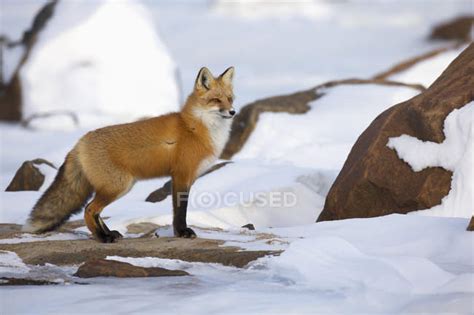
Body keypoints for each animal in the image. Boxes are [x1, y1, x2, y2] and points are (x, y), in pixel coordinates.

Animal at [23, 67, 236, 244]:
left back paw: (110, 233)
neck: (196, 127)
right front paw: (182, 232)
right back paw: (103, 238)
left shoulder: (185, 176)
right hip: (118, 185)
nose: (233, 112)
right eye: (216, 100)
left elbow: (177, 209)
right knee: (89, 209)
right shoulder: (182, 174)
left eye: (230, 98)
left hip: (119, 186)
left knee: (95, 211)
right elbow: (180, 210)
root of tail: (79, 143)